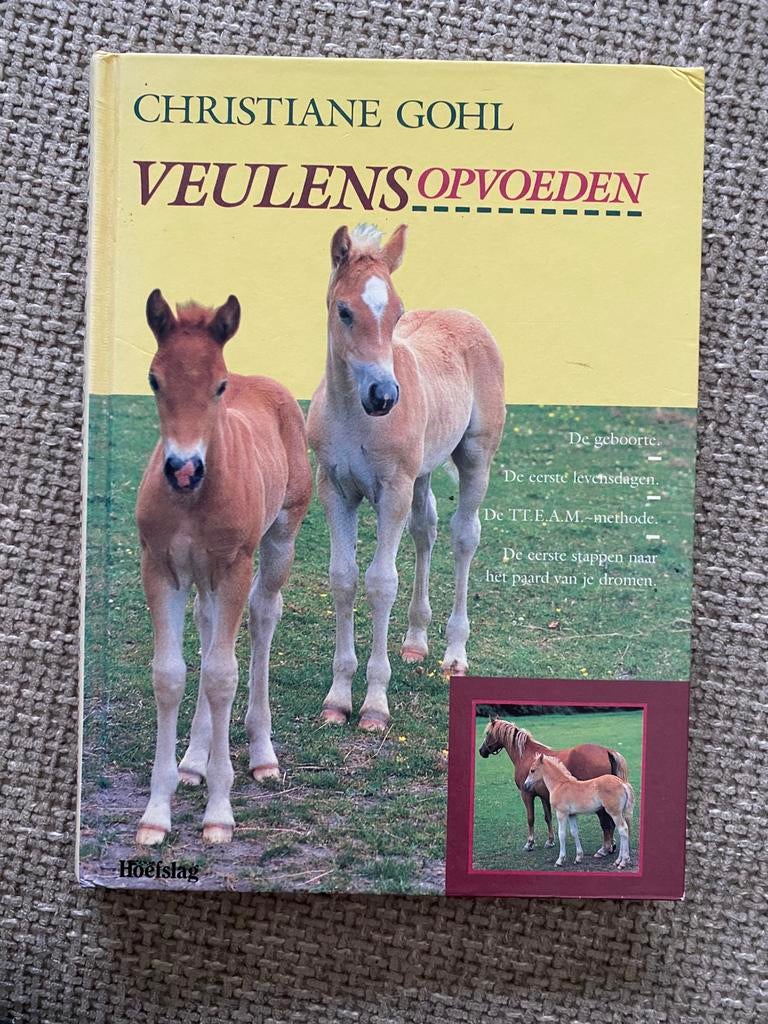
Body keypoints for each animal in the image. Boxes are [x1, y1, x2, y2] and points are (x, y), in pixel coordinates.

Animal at [134, 290, 312, 846]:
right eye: (154, 379)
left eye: (219, 385)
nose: (183, 469)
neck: (193, 501)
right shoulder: (161, 568)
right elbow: (171, 674)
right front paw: (156, 813)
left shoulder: (234, 566)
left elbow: (221, 675)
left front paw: (218, 813)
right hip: (203, 577)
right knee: (210, 626)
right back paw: (194, 760)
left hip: (279, 539)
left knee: (261, 617)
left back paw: (262, 755)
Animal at [306, 223, 506, 731]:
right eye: (344, 310)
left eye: (396, 313)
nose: (384, 395)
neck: (355, 416)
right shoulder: (334, 489)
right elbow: (343, 578)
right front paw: (337, 700)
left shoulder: (391, 491)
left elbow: (381, 583)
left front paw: (374, 705)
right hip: (422, 472)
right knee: (425, 530)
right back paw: (415, 642)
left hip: (475, 457)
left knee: (463, 535)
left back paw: (455, 653)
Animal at [478, 717, 629, 855]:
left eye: (488, 733)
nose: (481, 751)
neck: (527, 756)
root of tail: (607, 751)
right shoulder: (544, 796)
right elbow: (547, 817)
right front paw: (550, 841)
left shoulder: (527, 794)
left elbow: (530, 818)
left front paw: (530, 843)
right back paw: (611, 846)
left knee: (606, 822)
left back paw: (605, 848)